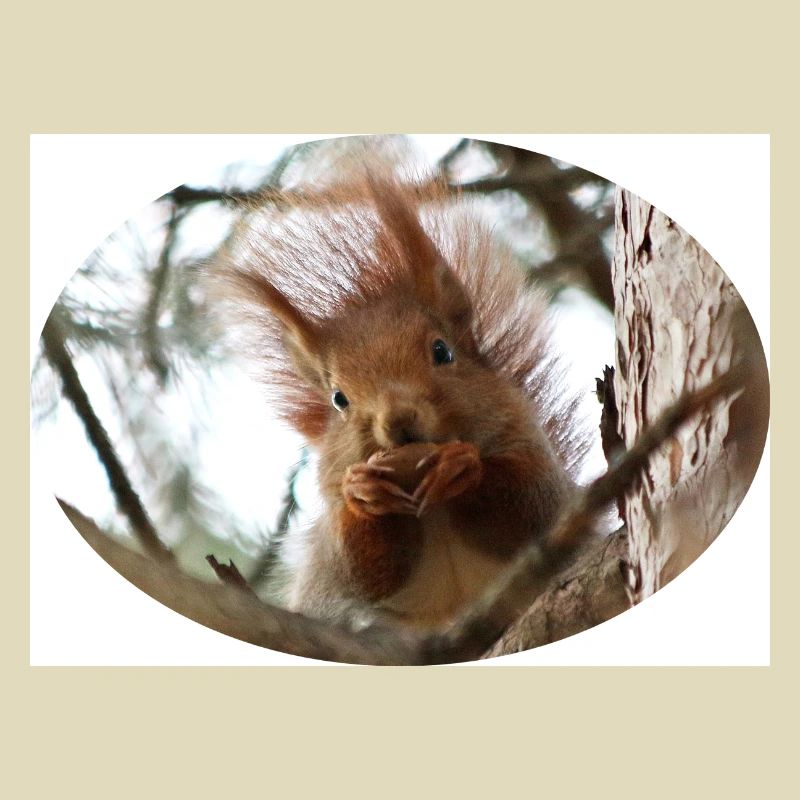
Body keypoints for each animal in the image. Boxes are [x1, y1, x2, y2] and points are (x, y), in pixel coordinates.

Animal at [218, 150, 588, 629]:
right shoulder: (334, 545)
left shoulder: (534, 456)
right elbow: (358, 569)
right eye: (339, 399)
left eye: (442, 351)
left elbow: (533, 507)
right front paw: (362, 491)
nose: (398, 421)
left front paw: (461, 466)